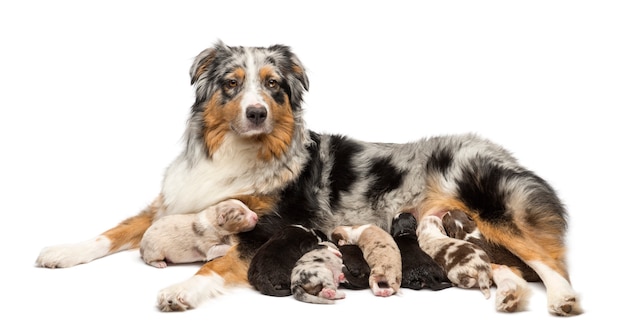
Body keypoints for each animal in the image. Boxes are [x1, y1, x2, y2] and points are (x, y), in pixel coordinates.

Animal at [35, 41, 580, 316]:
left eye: (273, 85)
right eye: (232, 84)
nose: (256, 112)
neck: (241, 152)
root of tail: (500, 150)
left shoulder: (266, 227)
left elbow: (216, 265)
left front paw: (182, 290)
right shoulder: (173, 200)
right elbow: (116, 229)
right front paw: (64, 251)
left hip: (491, 207)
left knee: (549, 259)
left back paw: (561, 299)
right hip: (470, 230)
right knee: (505, 266)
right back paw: (509, 294)